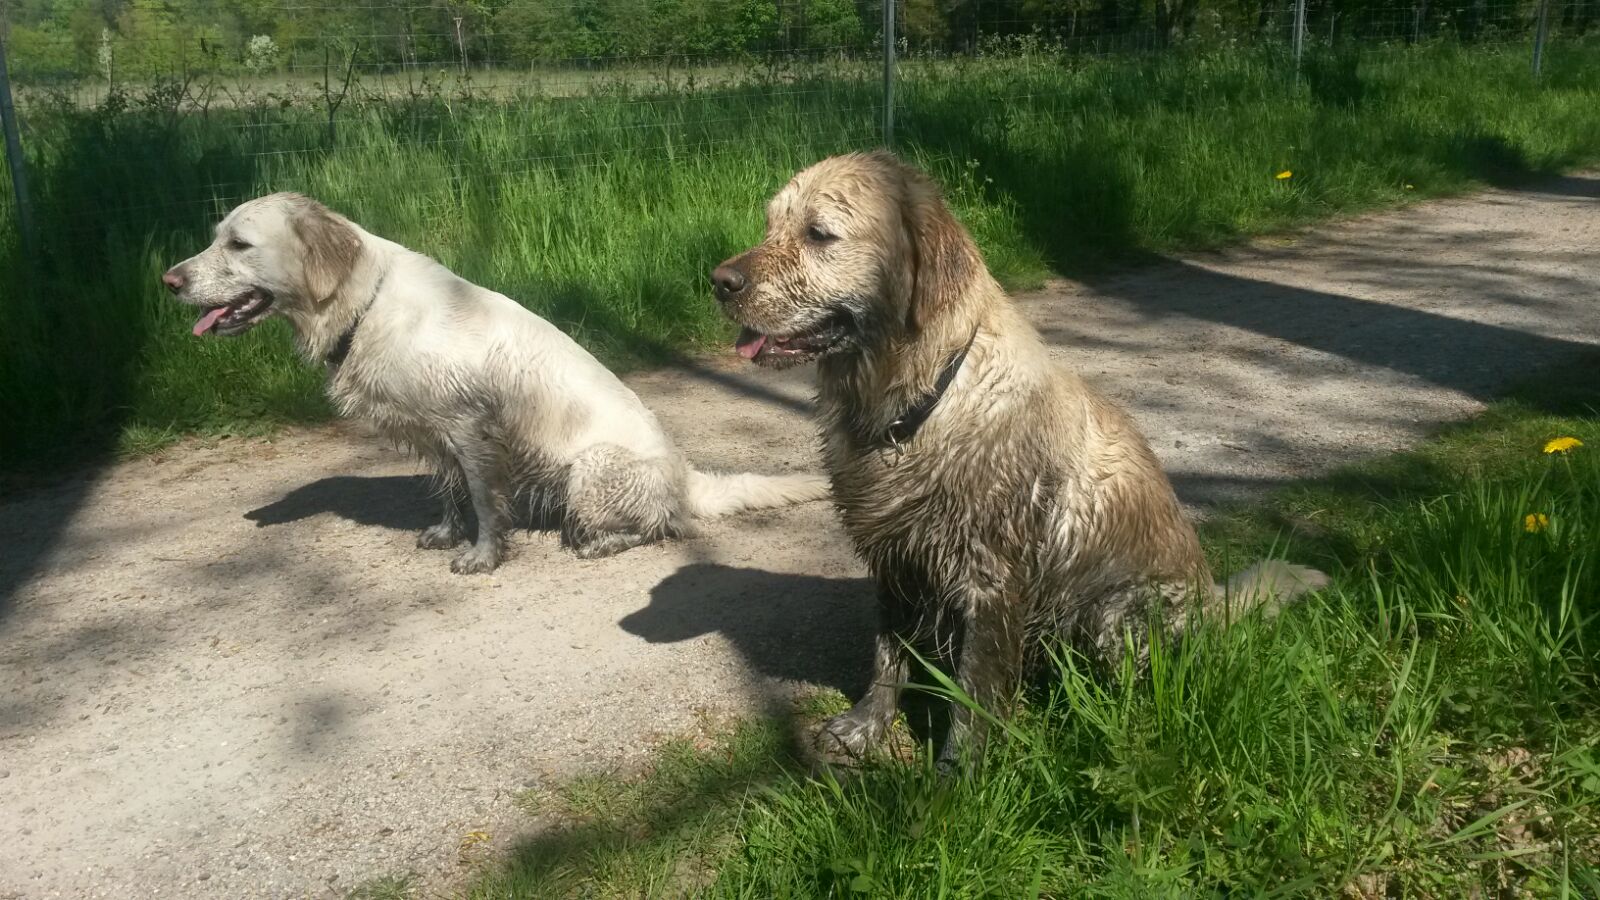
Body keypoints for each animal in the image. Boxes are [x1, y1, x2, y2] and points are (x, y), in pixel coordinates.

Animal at [165, 192, 825, 570]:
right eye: (216, 237)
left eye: (238, 243)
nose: (169, 281)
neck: (365, 305)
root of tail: (686, 476)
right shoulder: (438, 435)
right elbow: (451, 491)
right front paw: (445, 534)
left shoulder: (470, 426)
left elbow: (484, 500)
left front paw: (483, 555)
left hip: (593, 469)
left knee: (663, 525)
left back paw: (596, 541)